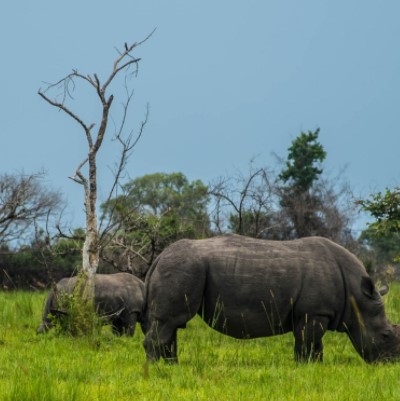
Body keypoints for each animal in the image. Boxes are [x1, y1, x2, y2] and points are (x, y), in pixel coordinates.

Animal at [142, 234, 400, 362]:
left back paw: (172, 367)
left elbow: (313, 345)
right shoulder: (315, 312)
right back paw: (157, 371)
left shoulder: (312, 313)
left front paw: (313, 367)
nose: (391, 364)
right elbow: (309, 343)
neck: (357, 296)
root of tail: (159, 257)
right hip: (183, 268)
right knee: (169, 321)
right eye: (386, 335)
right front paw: (306, 367)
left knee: (172, 325)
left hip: (181, 268)